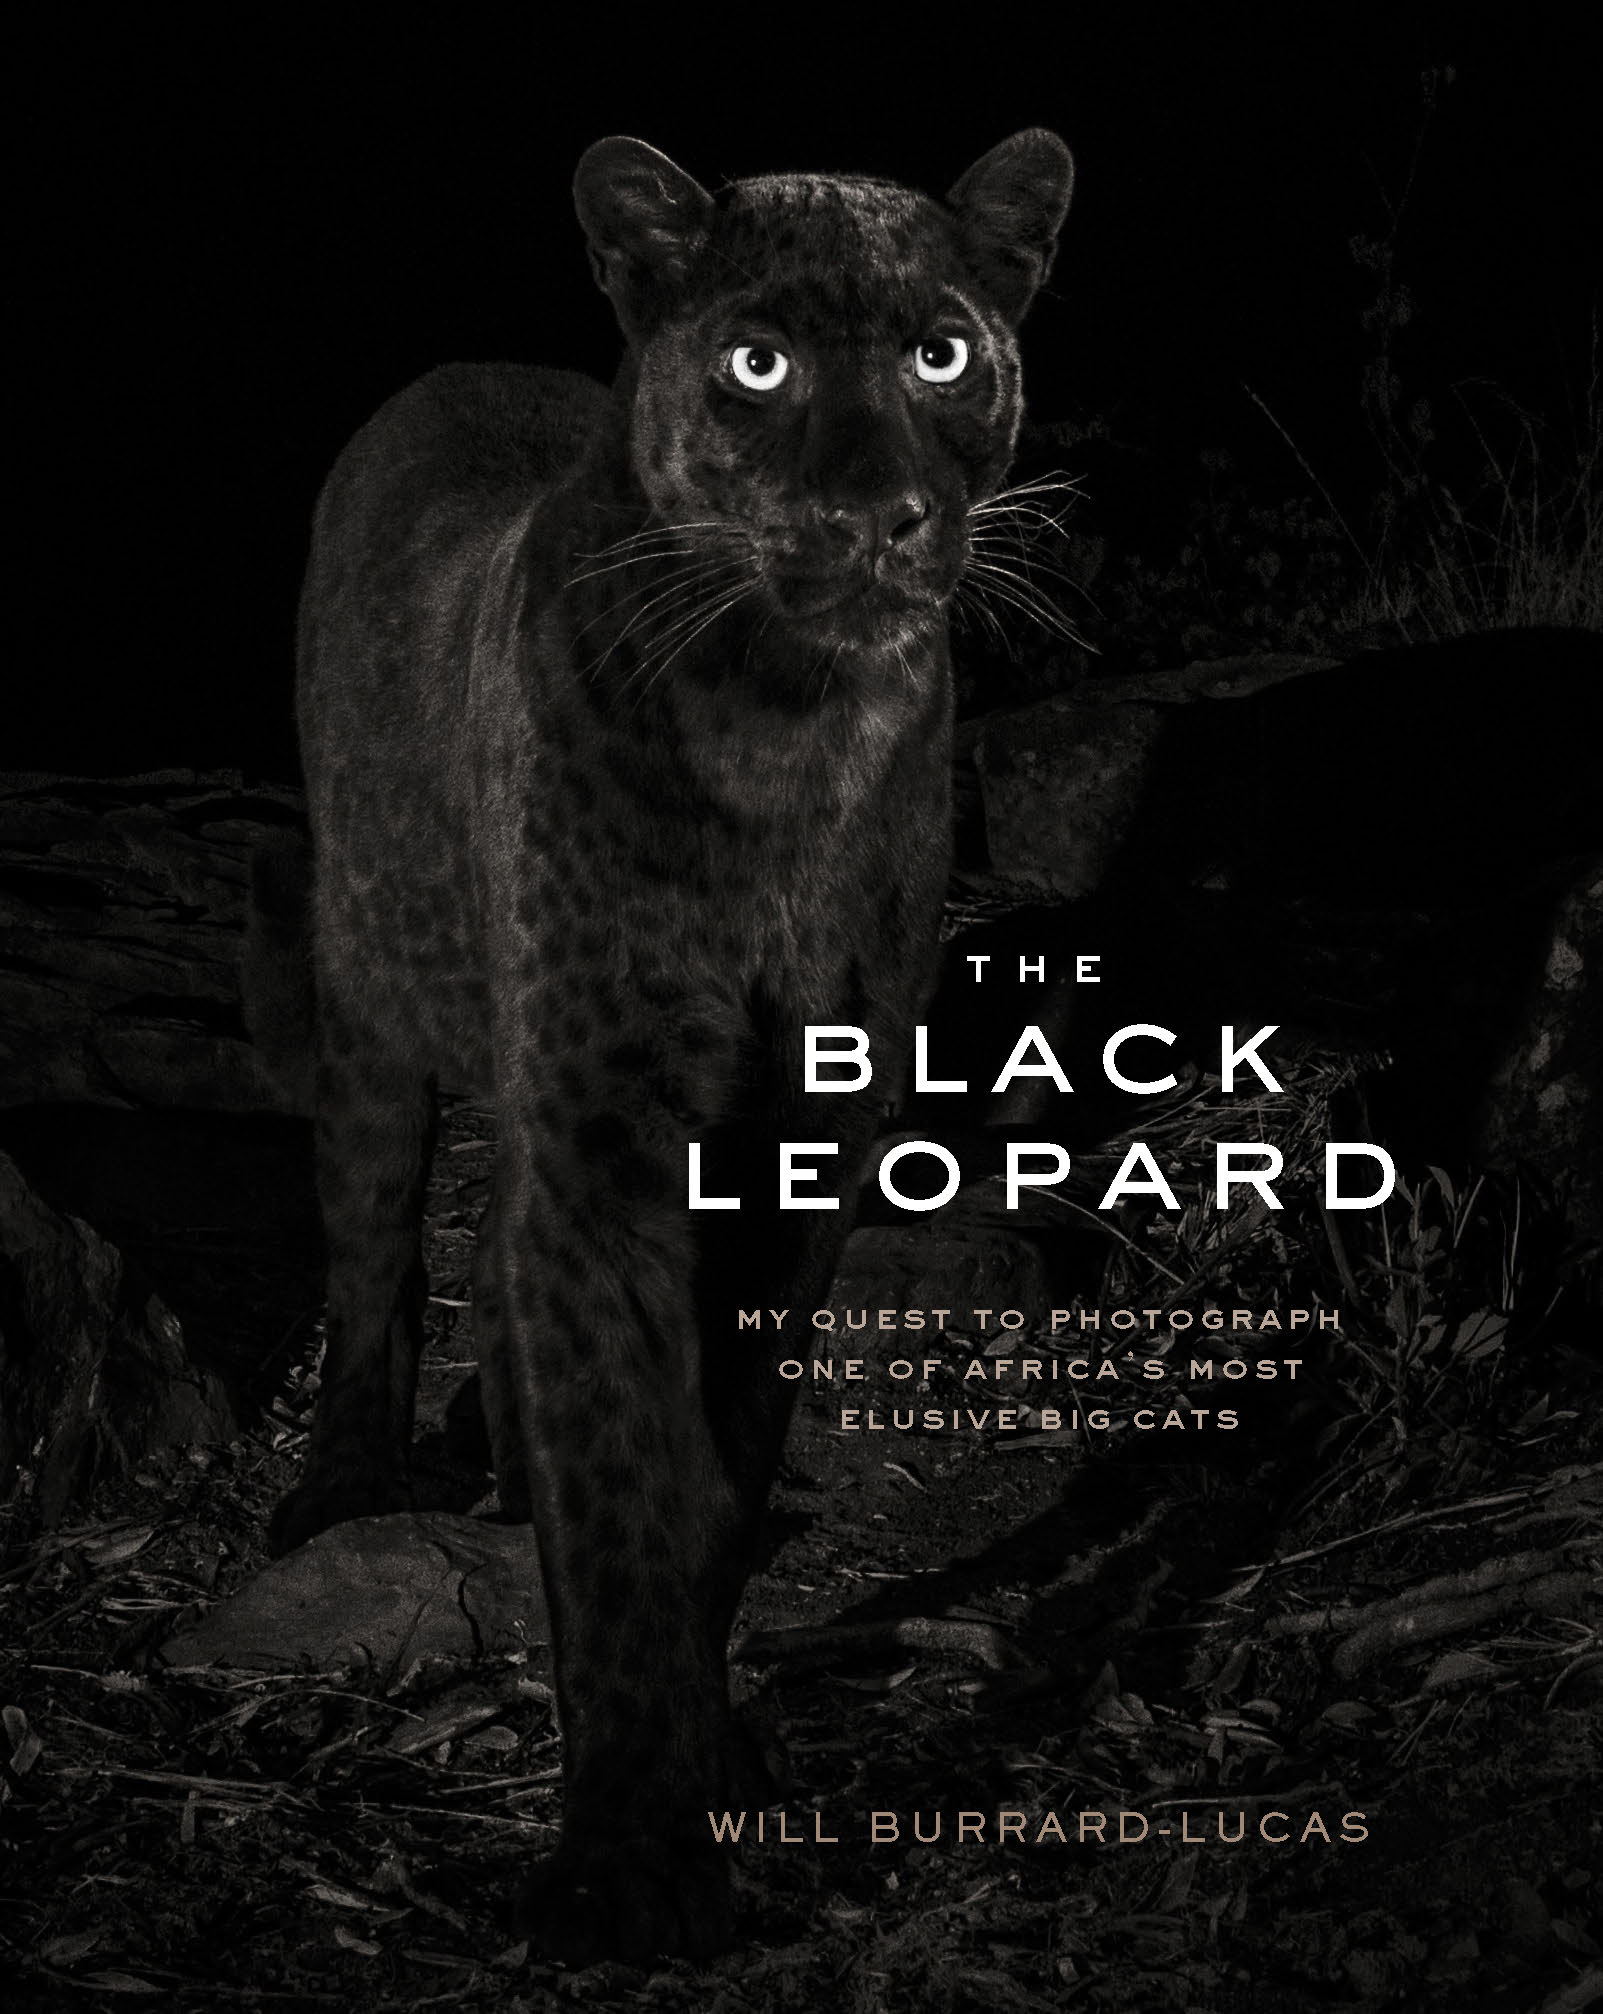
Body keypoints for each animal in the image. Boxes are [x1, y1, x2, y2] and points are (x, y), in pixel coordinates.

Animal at [265, 127, 1074, 1964]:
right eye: (755, 364)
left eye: (940, 351)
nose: (867, 517)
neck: (786, 726)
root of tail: (451, 369)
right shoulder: (599, 1127)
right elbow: (626, 1480)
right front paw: (631, 1866)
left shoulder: (794, 1147)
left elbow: (718, 1462)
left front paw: (715, 1753)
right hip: (371, 989)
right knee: (372, 1235)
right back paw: (346, 1481)